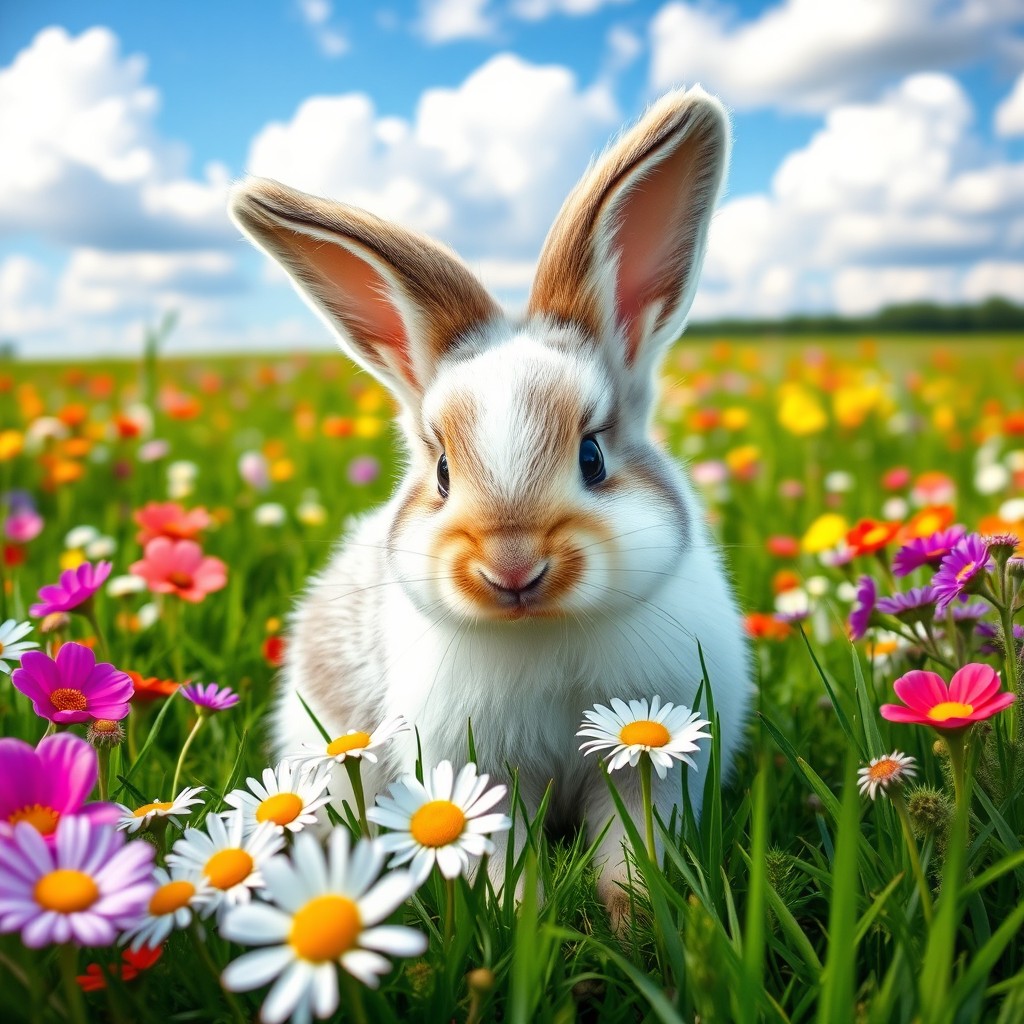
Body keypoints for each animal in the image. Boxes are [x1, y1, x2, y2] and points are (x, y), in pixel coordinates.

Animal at [229, 85, 753, 921]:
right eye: (442, 472)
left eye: (592, 456)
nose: (513, 568)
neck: (542, 631)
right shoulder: (475, 776)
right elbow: (493, 849)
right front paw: (523, 914)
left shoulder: (655, 761)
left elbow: (631, 849)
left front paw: (633, 918)